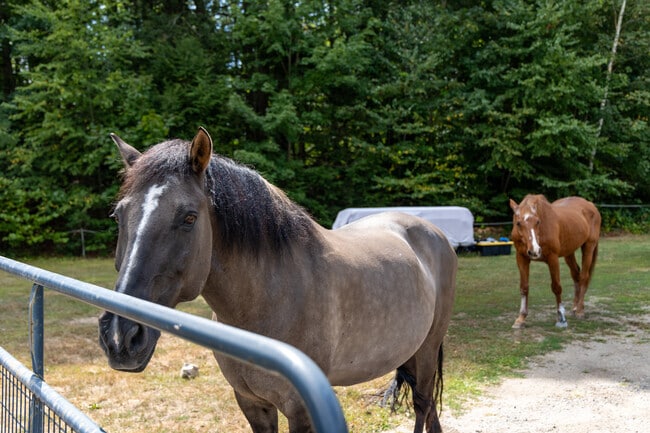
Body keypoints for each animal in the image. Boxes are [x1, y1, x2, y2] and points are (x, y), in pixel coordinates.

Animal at [98, 127, 457, 433]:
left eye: (189, 217)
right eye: (117, 215)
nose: (120, 336)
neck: (269, 302)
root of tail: (432, 231)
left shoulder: (299, 410)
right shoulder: (251, 402)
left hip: (428, 347)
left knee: (423, 403)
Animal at [509, 194, 601, 328]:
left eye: (538, 221)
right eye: (518, 223)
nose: (535, 251)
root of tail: (591, 205)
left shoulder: (553, 258)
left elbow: (556, 287)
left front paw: (561, 318)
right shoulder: (521, 258)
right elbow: (524, 287)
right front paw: (521, 319)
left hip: (589, 247)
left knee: (584, 277)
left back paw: (579, 310)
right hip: (569, 253)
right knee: (576, 275)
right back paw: (574, 307)